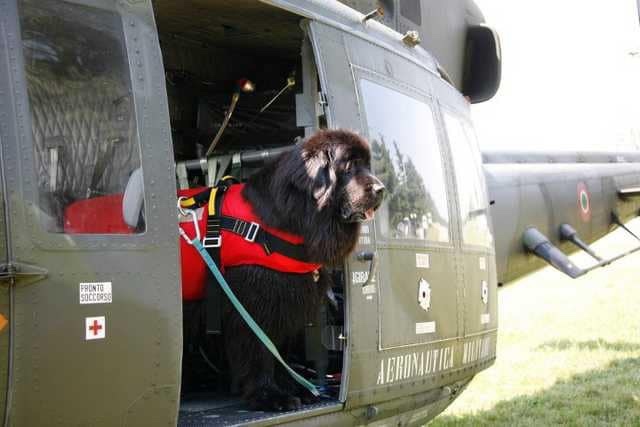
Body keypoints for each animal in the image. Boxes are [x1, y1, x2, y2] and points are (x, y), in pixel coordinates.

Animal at [222, 130, 382, 412]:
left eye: (366, 165)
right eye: (349, 166)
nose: (381, 189)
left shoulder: (288, 303)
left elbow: (279, 349)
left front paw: (293, 386)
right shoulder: (255, 303)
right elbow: (259, 347)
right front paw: (269, 396)